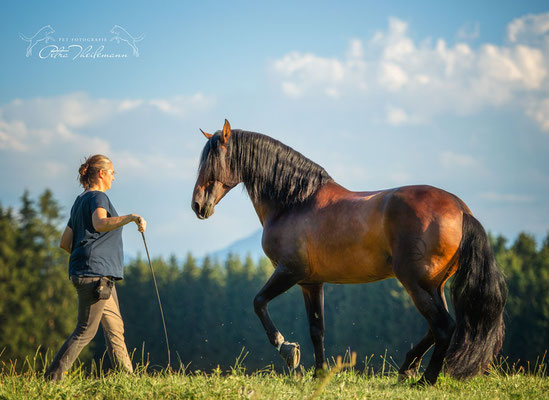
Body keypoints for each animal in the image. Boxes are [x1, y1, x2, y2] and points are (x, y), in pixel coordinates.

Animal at [191, 119, 508, 384]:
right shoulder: (311, 282)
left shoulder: (289, 271)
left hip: (415, 283)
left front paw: (287, 349)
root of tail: (462, 209)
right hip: (433, 285)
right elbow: (316, 329)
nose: (197, 206)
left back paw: (424, 380)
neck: (294, 202)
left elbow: (258, 302)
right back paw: (407, 369)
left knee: (443, 326)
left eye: (213, 161)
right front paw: (318, 374)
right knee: (437, 327)